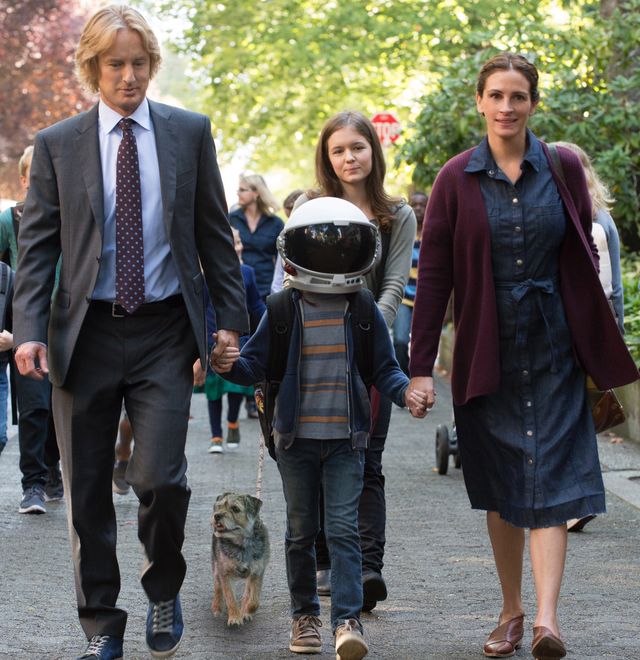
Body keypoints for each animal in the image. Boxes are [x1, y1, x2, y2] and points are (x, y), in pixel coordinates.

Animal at [211, 492, 268, 628]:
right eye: (219, 506)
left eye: (235, 509)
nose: (217, 515)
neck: (242, 544)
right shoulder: (225, 573)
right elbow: (230, 597)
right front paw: (235, 618)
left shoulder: (257, 572)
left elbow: (253, 599)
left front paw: (246, 611)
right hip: (216, 566)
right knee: (217, 586)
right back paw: (217, 606)